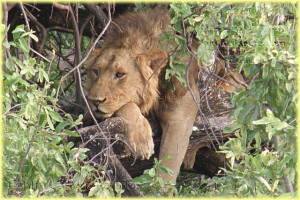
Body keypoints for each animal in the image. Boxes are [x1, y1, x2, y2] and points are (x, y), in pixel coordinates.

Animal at [82, 8, 199, 184]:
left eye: (120, 74)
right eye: (96, 71)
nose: (95, 101)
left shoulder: (182, 111)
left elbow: (169, 165)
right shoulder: (89, 113)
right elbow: (127, 106)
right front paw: (141, 141)